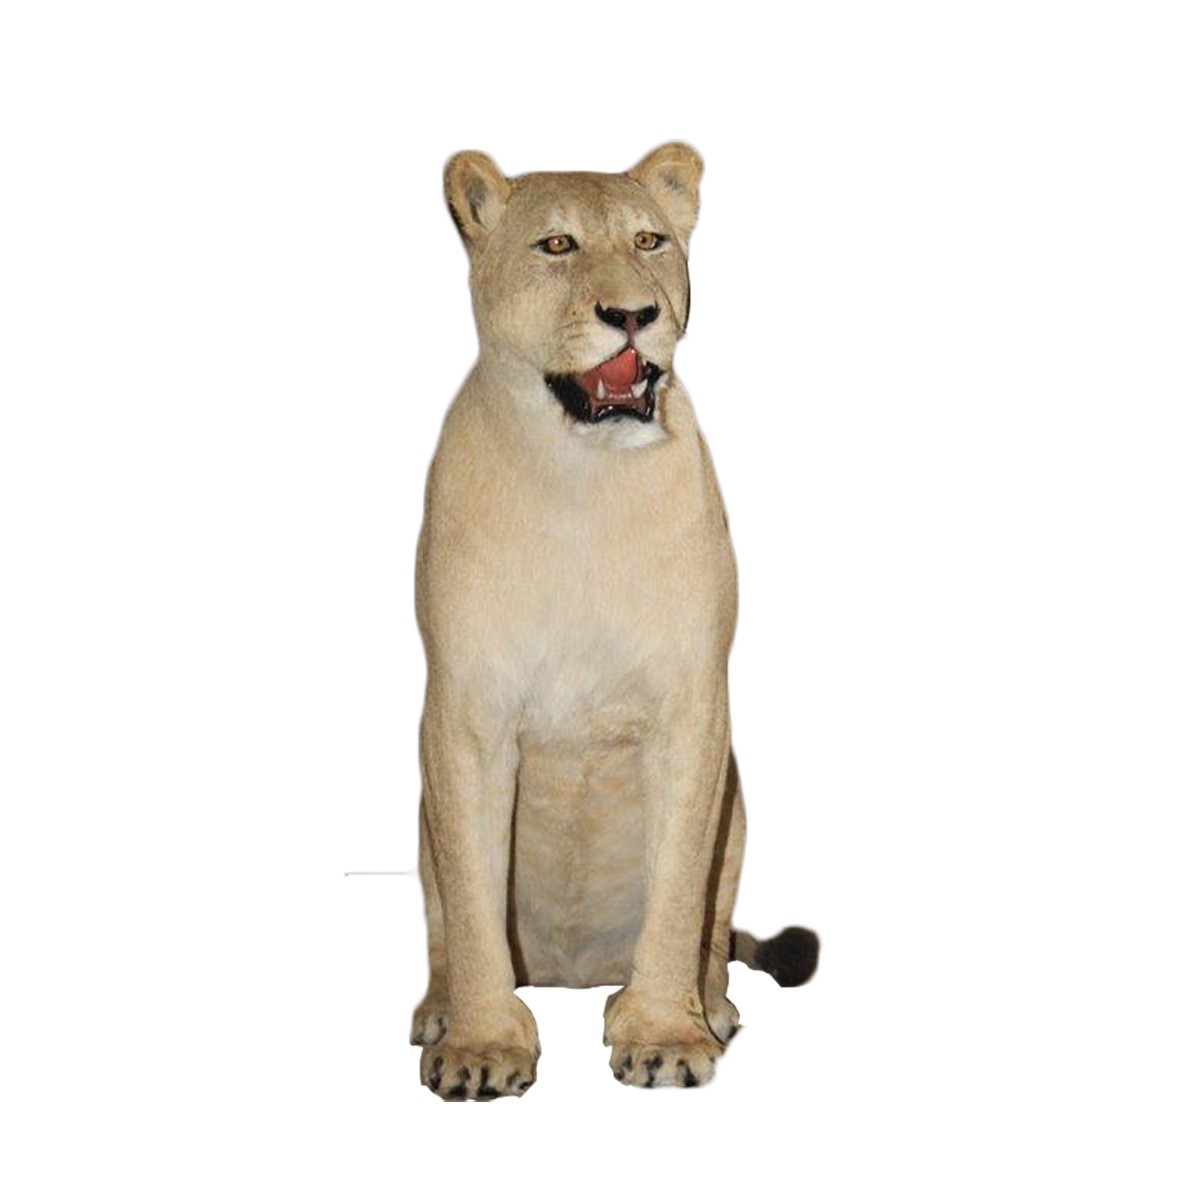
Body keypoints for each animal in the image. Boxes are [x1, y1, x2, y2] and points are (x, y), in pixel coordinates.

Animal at [411, 143, 817, 1100]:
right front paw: (480, 1045)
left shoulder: (692, 707)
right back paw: (438, 1008)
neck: (579, 479)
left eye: (648, 241)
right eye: (556, 244)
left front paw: (667, 1031)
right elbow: (472, 902)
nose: (635, 315)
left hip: (738, 808)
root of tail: (570, 972)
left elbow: (676, 892)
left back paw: (714, 1005)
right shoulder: (464, 713)